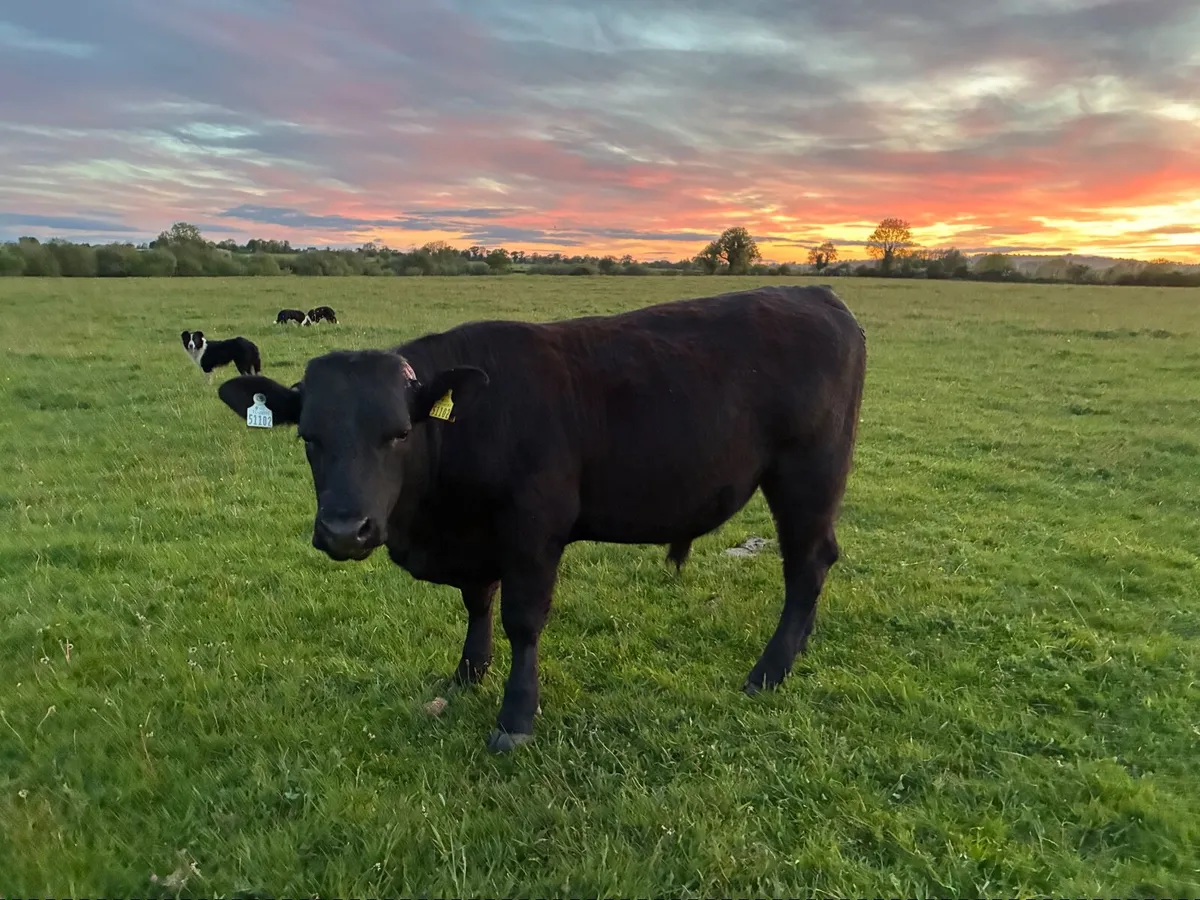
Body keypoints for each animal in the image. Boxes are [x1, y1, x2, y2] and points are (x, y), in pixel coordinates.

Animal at [214, 284, 868, 752]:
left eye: (398, 433)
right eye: (309, 437)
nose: (345, 531)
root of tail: (816, 295)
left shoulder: (533, 533)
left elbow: (523, 622)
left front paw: (515, 717)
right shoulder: (476, 540)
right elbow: (477, 603)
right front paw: (467, 673)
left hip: (807, 476)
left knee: (807, 564)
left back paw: (769, 670)